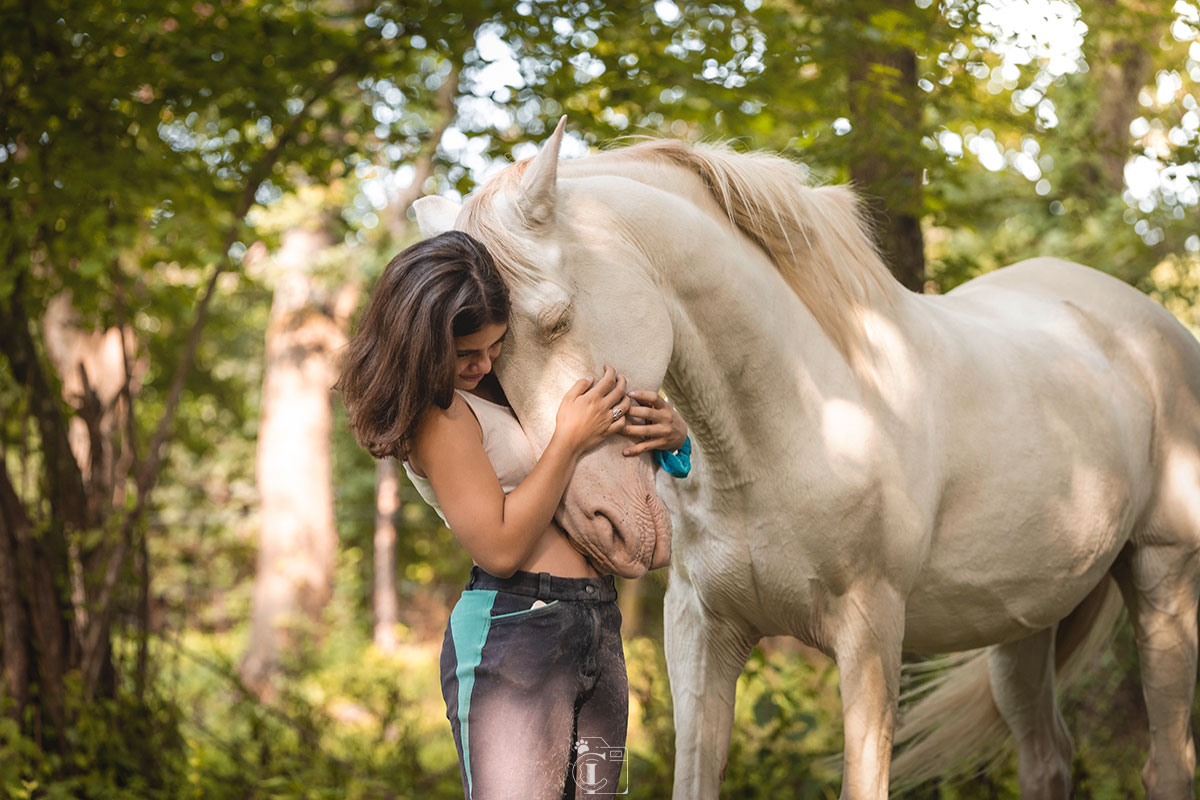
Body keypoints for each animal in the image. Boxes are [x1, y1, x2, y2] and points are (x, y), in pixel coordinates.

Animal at [412, 120, 1200, 800]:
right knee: (1047, 758)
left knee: (1165, 764)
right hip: (1022, 625)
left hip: (1162, 579)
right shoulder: (700, 633)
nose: (598, 526)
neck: (794, 420)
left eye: (555, 320)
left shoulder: (871, 637)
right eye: (485, 370)